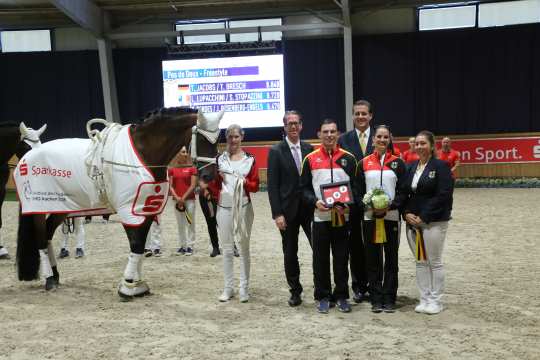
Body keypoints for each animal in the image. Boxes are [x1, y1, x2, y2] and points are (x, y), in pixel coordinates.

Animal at [14, 107, 223, 298]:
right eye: (202, 139)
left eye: (217, 141)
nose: (209, 176)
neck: (143, 152)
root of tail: (26, 158)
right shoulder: (128, 210)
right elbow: (136, 244)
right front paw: (129, 286)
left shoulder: (145, 209)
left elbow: (140, 246)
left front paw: (138, 284)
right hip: (39, 208)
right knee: (41, 239)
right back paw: (49, 279)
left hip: (61, 208)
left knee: (48, 235)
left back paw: (56, 275)